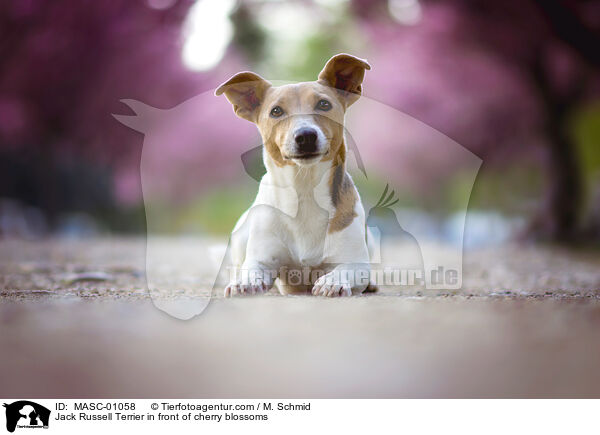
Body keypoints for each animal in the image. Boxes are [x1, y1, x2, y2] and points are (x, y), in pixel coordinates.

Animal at [216, 53, 376, 296]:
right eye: (276, 111)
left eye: (324, 104)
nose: (306, 135)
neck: (304, 189)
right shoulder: (262, 258)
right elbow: (252, 268)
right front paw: (243, 282)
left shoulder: (355, 262)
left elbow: (347, 269)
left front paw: (333, 281)